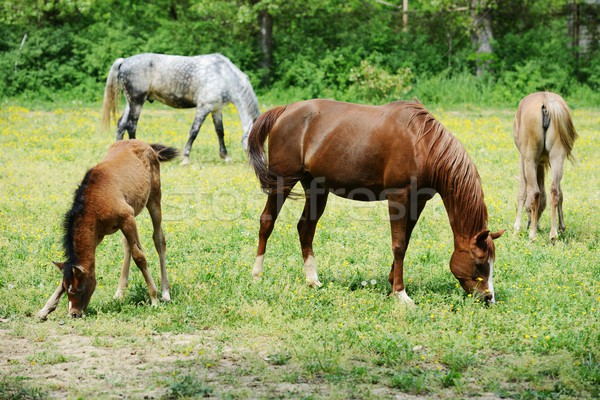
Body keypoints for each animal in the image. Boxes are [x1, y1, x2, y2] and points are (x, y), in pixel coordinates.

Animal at [38, 141, 176, 318]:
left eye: (79, 289)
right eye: (67, 289)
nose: (74, 314)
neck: (94, 203)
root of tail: (145, 144)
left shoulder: (127, 218)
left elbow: (140, 257)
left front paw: (154, 298)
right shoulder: (99, 233)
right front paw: (46, 308)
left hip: (154, 199)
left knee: (158, 239)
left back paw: (165, 292)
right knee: (128, 246)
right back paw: (120, 292)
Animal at [101, 53, 260, 164]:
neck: (224, 75)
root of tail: (124, 61)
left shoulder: (216, 109)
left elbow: (220, 132)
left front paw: (225, 156)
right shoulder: (204, 107)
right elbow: (194, 131)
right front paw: (185, 158)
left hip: (131, 102)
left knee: (121, 125)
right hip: (137, 102)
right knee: (131, 126)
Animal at [246, 99, 504, 304]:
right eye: (480, 263)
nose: (489, 298)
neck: (422, 144)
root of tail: (285, 110)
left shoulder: (418, 200)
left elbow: (405, 241)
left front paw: (392, 284)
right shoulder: (399, 197)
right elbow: (398, 245)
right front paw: (400, 293)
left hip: (316, 188)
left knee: (305, 229)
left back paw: (312, 280)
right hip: (281, 182)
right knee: (267, 222)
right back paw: (257, 274)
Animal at [512, 91, 580, 241]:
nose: (530, 223)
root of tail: (546, 102)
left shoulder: (523, 158)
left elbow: (522, 192)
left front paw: (517, 227)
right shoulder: (543, 162)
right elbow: (559, 193)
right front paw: (561, 226)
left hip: (530, 160)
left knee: (535, 192)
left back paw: (532, 235)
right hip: (557, 157)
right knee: (554, 190)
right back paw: (553, 234)